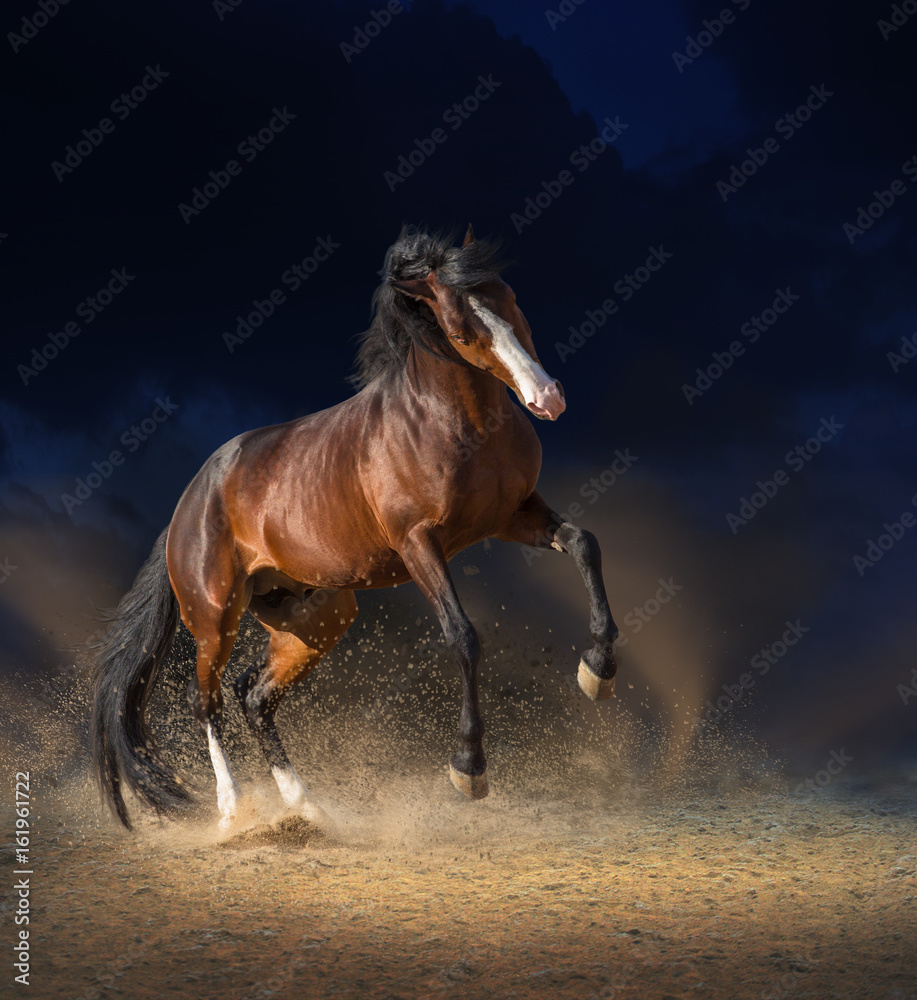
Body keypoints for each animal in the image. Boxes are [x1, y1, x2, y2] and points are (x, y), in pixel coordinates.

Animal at [89, 224, 620, 831]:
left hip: (315, 618)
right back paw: (232, 811)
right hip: (214, 618)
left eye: (512, 300)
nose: (547, 398)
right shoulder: (419, 545)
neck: (450, 423)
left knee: (254, 696)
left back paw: (306, 808)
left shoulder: (513, 515)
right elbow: (462, 635)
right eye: (461, 332)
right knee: (208, 701)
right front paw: (468, 768)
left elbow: (584, 544)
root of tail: (189, 502)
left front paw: (598, 670)